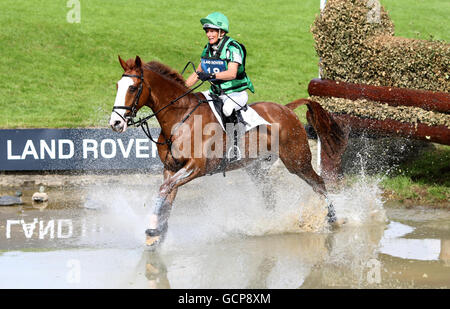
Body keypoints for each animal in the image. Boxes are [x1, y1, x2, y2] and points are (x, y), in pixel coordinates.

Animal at [108, 56, 344, 248]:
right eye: (118, 85)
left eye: (132, 88)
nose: (115, 123)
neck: (179, 120)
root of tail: (286, 109)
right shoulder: (171, 168)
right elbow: (167, 196)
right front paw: (157, 233)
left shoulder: (195, 167)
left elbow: (164, 190)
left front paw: (152, 230)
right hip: (256, 168)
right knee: (270, 195)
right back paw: (270, 222)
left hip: (297, 161)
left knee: (319, 184)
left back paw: (332, 218)